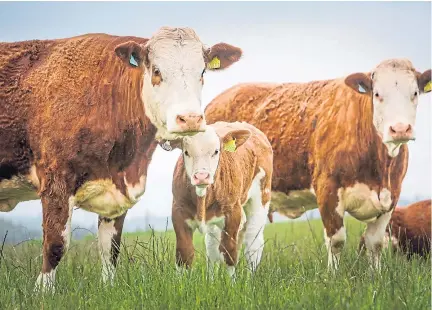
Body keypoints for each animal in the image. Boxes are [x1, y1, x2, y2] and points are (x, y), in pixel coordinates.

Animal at [0, 26, 243, 290]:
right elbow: (55, 245)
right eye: (156, 71)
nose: (189, 118)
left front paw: (108, 288)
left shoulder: (116, 196)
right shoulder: (57, 183)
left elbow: (110, 250)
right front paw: (42, 292)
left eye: (202, 71)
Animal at [170, 120, 272, 276]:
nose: (201, 176)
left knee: (253, 243)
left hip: (261, 197)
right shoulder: (178, 211)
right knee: (212, 247)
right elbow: (184, 254)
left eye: (216, 151)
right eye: (186, 152)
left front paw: (231, 282)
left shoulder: (233, 213)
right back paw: (211, 278)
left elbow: (229, 252)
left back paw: (250, 278)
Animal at [204, 58, 430, 272]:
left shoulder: (391, 197)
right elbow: (336, 241)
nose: (400, 129)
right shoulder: (328, 190)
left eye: (415, 93)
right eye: (377, 94)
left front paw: (376, 276)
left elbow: (374, 243)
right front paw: (333, 276)